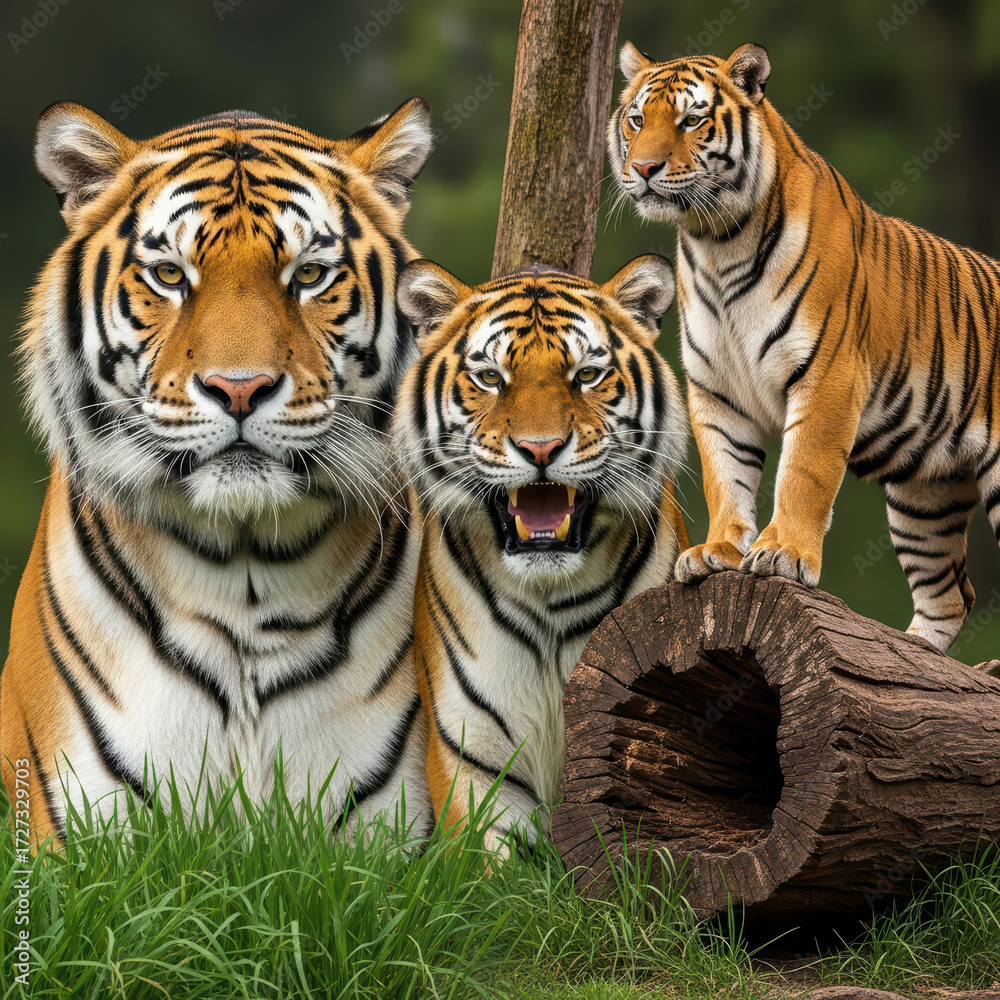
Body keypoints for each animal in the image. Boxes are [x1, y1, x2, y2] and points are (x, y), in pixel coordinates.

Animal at [609, 41, 1000, 653]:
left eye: (691, 120)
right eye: (636, 119)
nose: (643, 169)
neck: (716, 241)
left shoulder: (827, 376)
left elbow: (804, 473)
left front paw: (782, 554)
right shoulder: (716, 390)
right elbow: (726, 476)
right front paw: (718, 552)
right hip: (923, 497)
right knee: (950, 596)